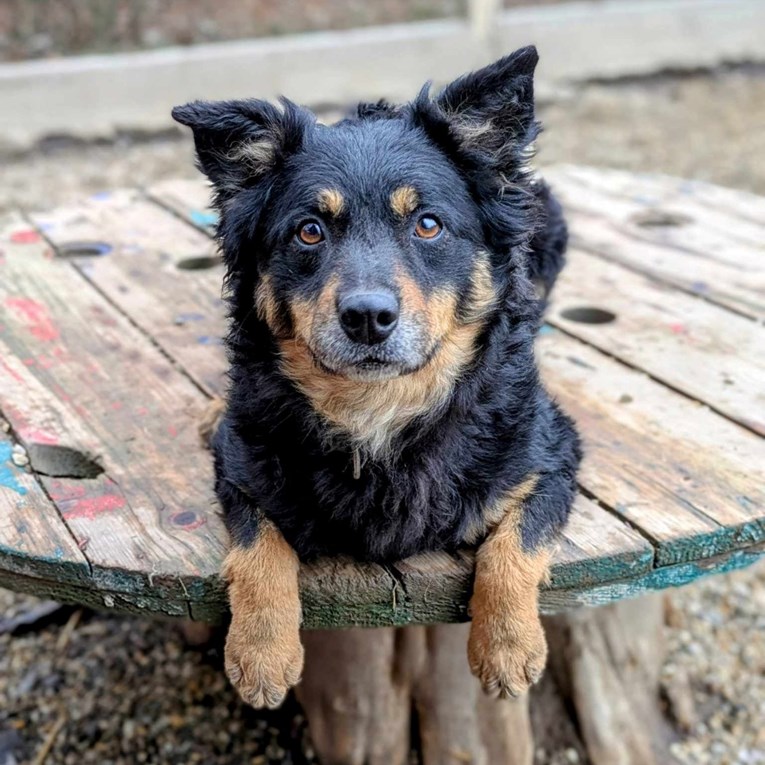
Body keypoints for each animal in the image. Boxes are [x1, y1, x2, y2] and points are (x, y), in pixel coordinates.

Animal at [173, 43, 580, 712]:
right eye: (309, 230)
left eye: (428, 224)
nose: (367, 317)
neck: (377, 407)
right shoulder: (240, 463)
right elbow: (258, 544)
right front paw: (261, 652)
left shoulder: (554, 452)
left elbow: (515, 543)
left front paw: (508, 646)